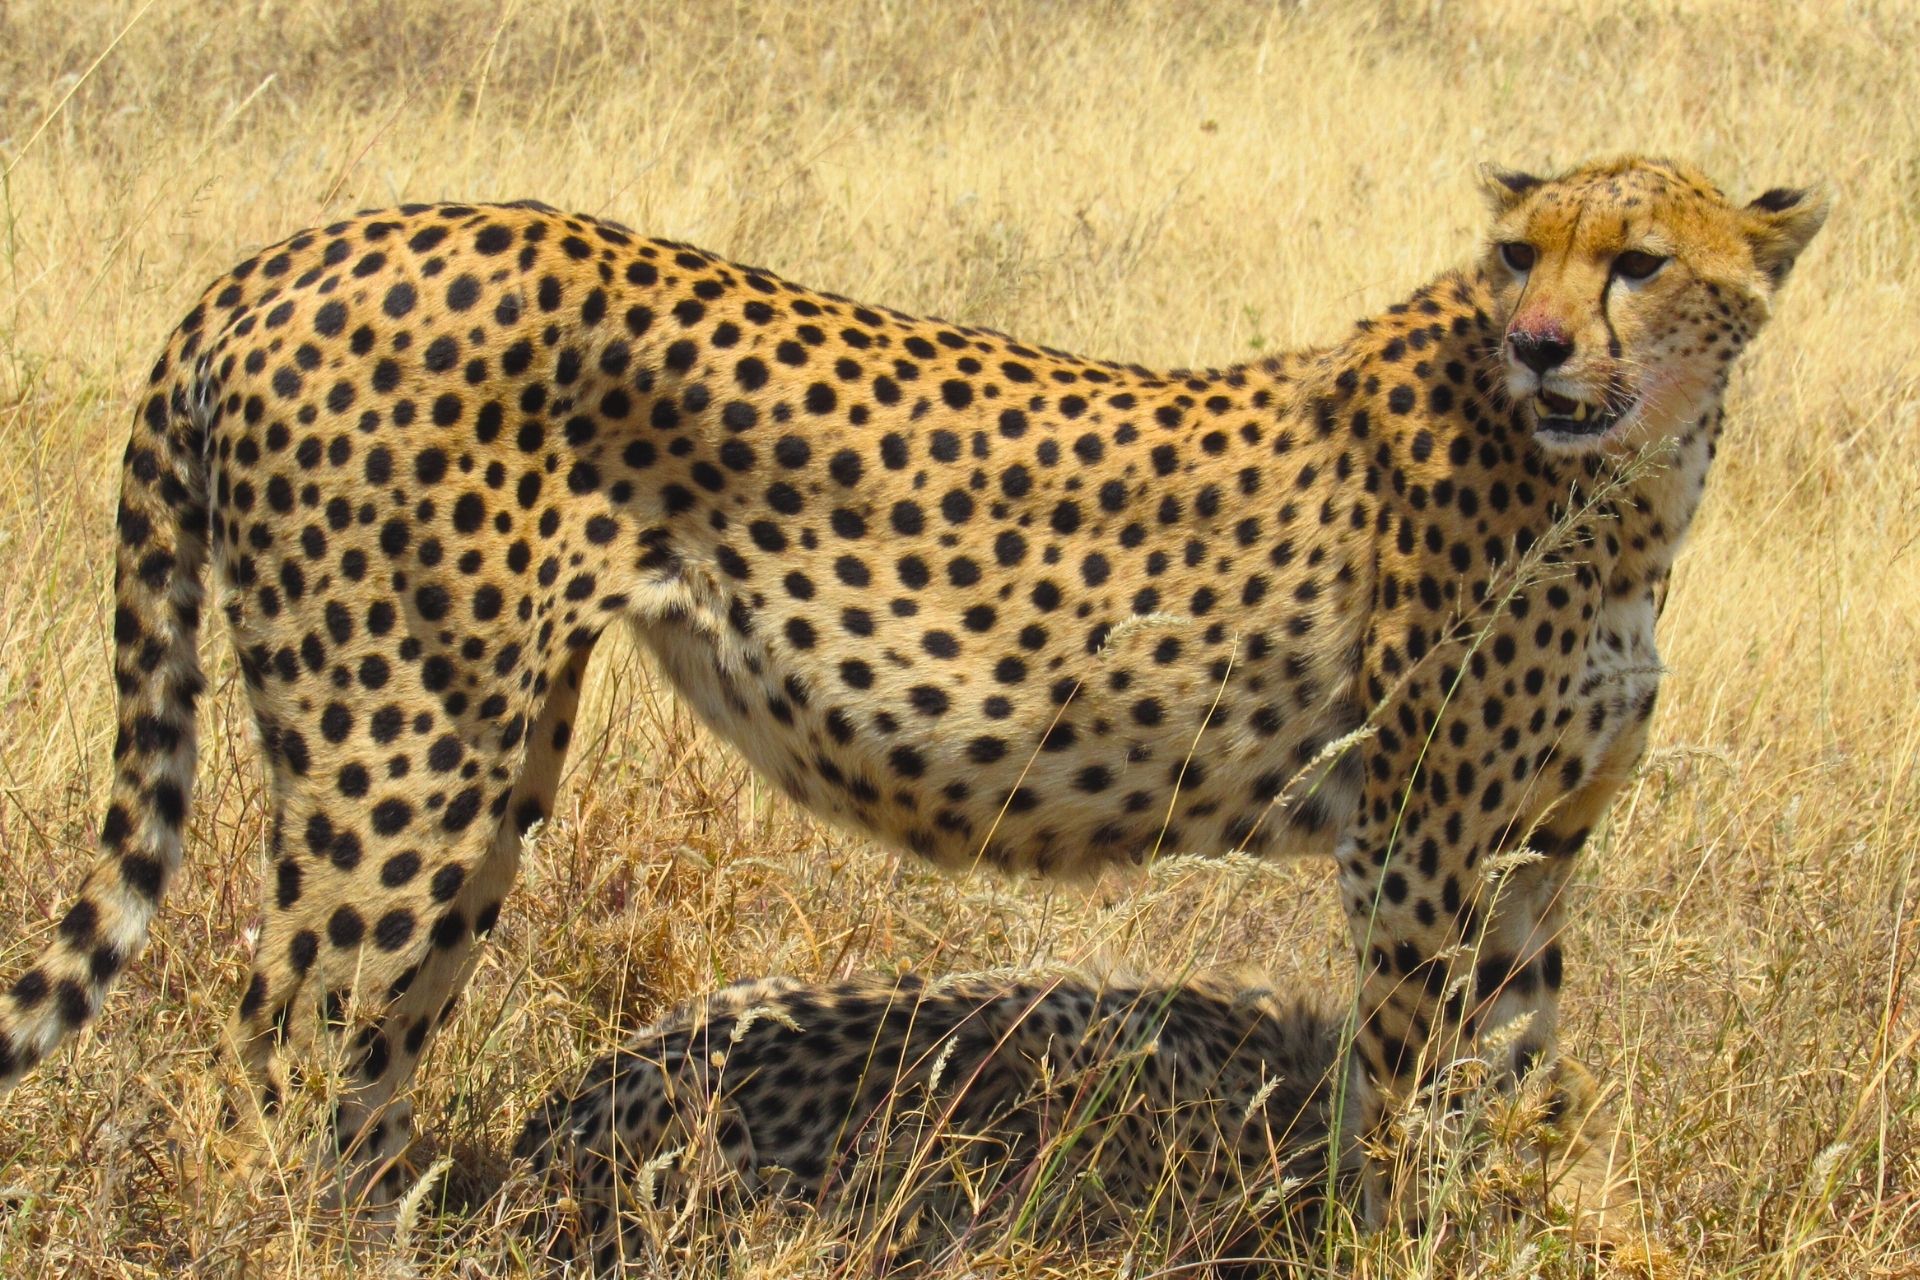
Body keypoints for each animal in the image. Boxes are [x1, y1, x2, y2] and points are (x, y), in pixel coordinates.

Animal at [0, 154, 1824, 1216]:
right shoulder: (1419, 848)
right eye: (1519, 253)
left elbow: (1518, 1095)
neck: (1632, 475)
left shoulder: (1531, 851)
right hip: (407, 743)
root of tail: (296, 253)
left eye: (1638, 261)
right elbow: (1413, 1103)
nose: (1538, 345)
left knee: (356, 1061)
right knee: (285, 1044)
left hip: (486, 760)